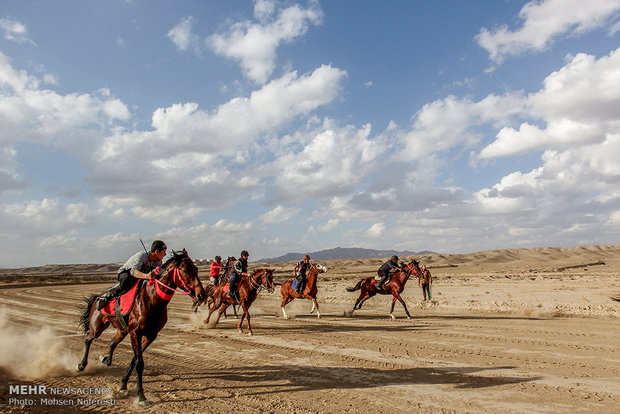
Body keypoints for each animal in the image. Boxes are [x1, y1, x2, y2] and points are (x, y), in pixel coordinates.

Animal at [77, 249, 206, 404]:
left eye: (196, 269)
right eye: (185, 270)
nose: (201, 295)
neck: (152, 300)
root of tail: (97, 297)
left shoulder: (151, 335)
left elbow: (134, 359)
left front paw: (123, 385)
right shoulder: (135, 333)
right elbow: (139, 362)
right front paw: (141, 395)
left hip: (122, 330)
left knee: (112, 343)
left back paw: (106, 360)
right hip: (97, 326)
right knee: (88, 339)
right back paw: (82, 365)